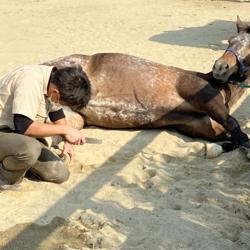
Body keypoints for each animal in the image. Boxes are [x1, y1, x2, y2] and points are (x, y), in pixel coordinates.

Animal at [44, 18, 250, 157]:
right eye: (230, 40)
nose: (220, 67)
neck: (217, 86)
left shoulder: (201, 127)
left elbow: (234, 136)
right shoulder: (207, 101)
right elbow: (236, 127)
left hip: (73, 118)